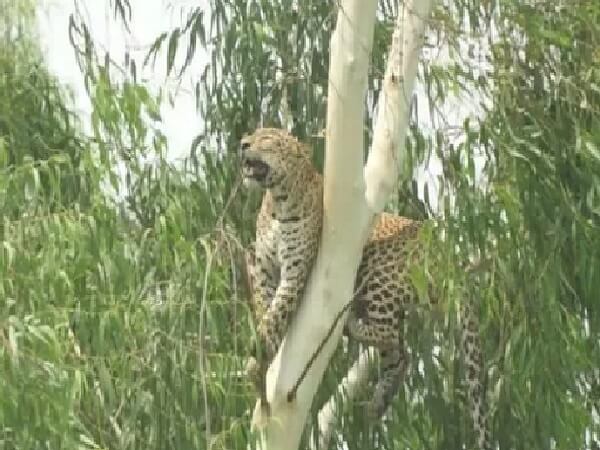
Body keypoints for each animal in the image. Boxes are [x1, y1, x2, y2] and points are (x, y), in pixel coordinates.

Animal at [237, 127, 490, 450]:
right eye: (252, 135)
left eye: (266, 138)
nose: (242, 144)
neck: (279, 203)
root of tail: (448, 256)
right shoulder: (263, 268)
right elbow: (265, 307)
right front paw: (264, 348)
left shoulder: (295, 273)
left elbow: (276, 313)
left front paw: (257, 357)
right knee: (401, 353)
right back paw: (376, 405)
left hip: (377, 267)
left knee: (391, 336)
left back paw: (352, 327)